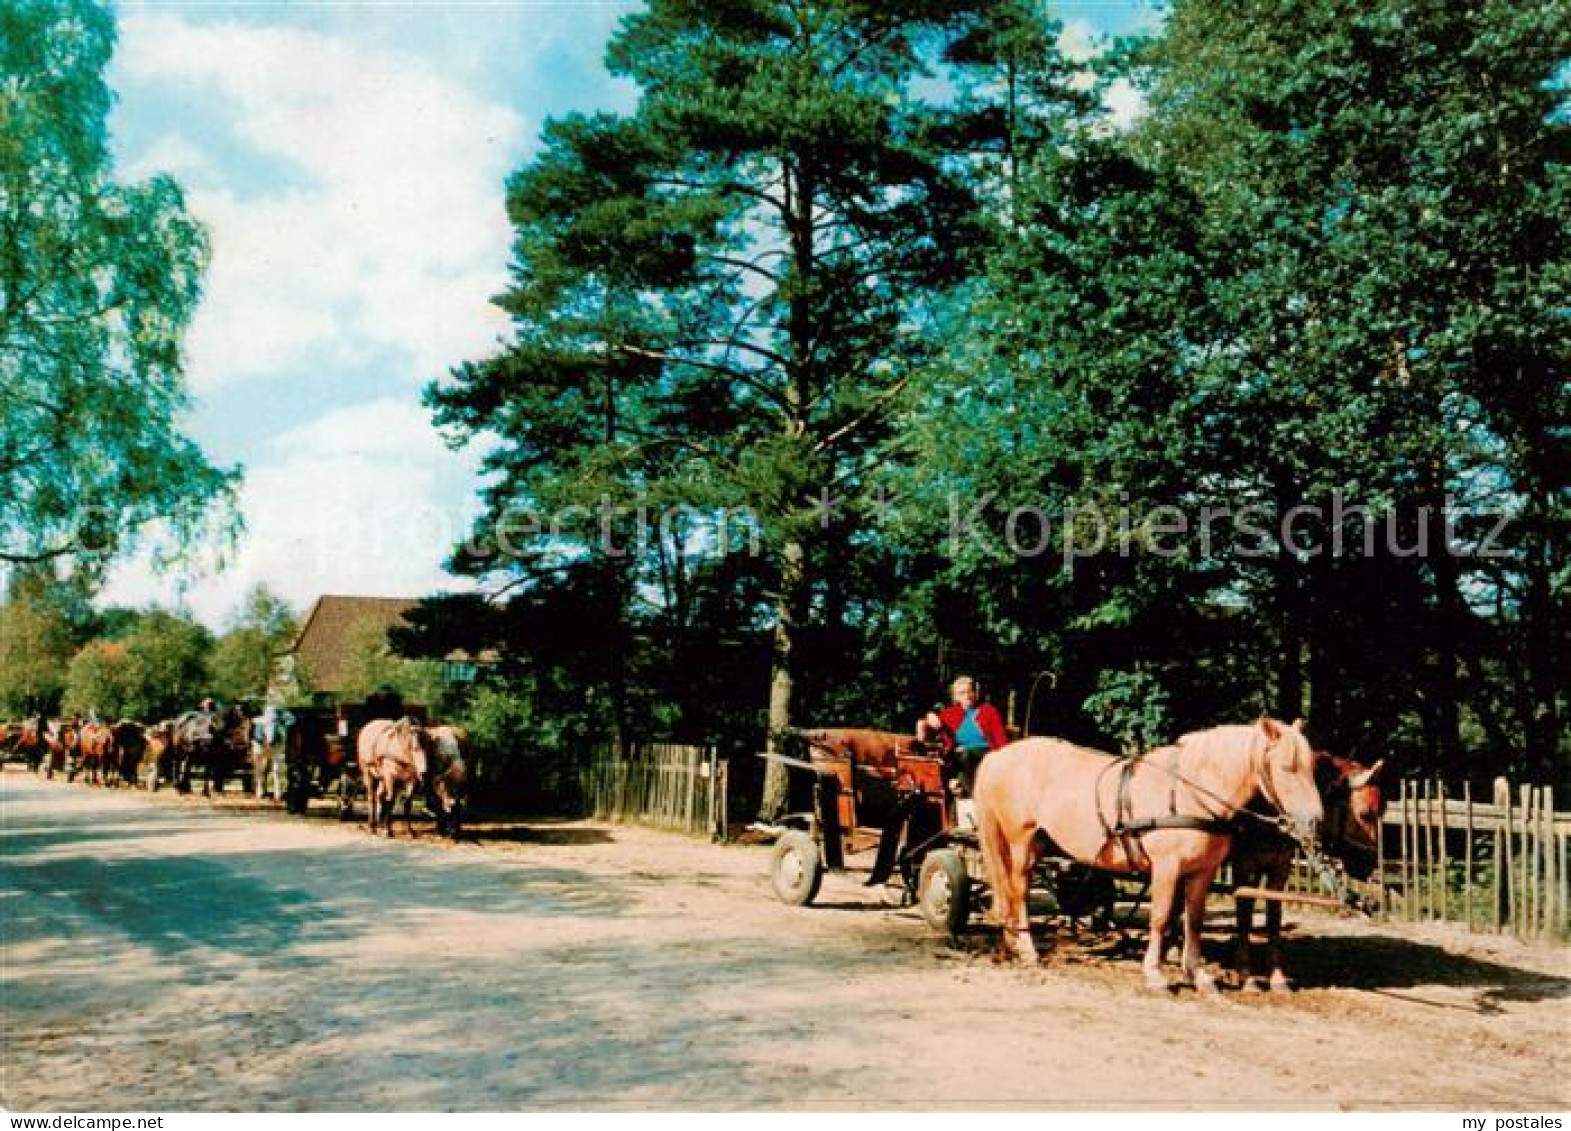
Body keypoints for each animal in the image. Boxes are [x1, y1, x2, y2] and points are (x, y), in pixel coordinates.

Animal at [967, 719, 1325, 992]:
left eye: (1312, 766)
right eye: (1286, 767)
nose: (1315, 820)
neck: (1189, 792)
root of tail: (998, 756)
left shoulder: (1202, 872)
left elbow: (1193, 921)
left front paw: (1197, 975)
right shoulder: (1166, 868)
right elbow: (1162, 917)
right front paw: (1154, 974)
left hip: (1036, 842)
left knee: (1010, 894)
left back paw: (1012, 943)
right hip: (1021, 841)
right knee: (1018, 892)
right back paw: (1027, 949)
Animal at [1225, 754, 1388, 992]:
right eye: (1365, 814)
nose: (1371, 865)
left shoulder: (1280, 867)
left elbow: (1274, 919)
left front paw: (1277, 977)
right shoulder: (1244, 868)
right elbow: (1244, 918)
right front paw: (1246, 976)